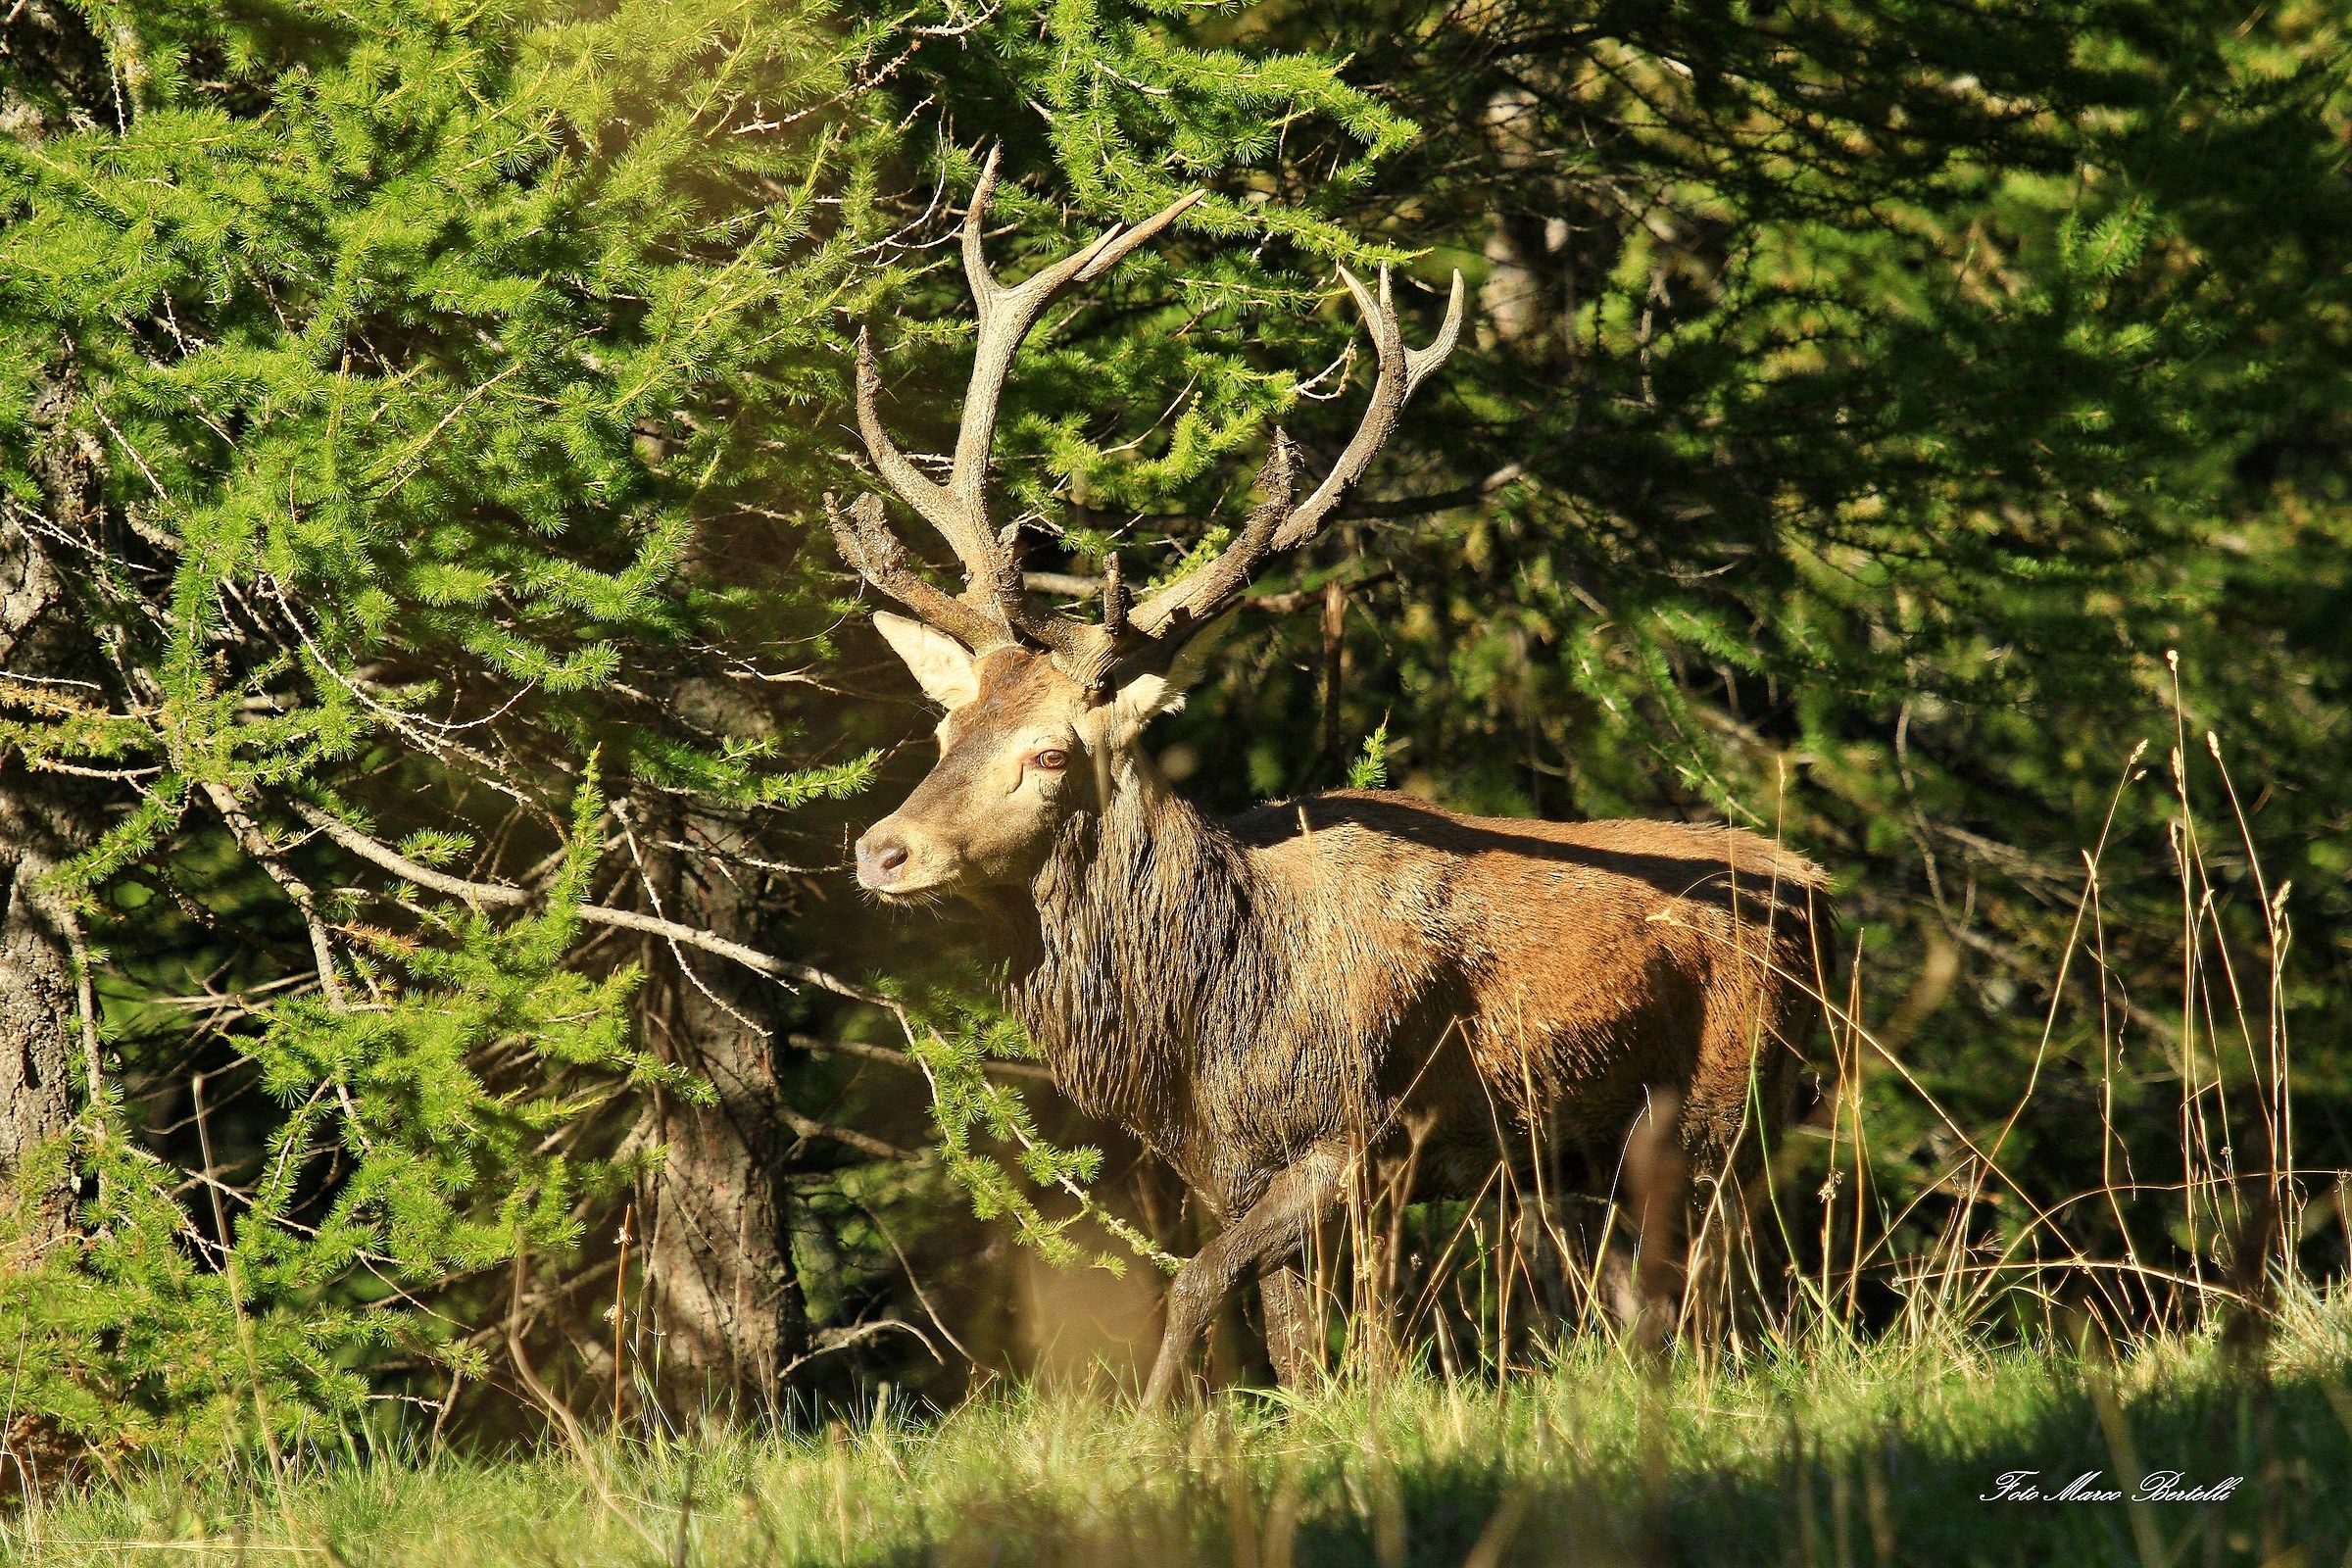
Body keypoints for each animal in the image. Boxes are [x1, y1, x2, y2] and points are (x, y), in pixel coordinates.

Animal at [831, 151, 1834, 1405]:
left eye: (1053, 750)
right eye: (945, 725)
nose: (882, 849)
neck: (1207, 1020)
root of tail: (1823, 898)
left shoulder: (1362, 1136)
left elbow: (1207, 1288)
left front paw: (1158, 1424)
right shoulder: (1228, 1156)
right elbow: (1294, 1345)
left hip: (1729, 1108)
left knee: (1729, 1300)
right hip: (1612, 1151)